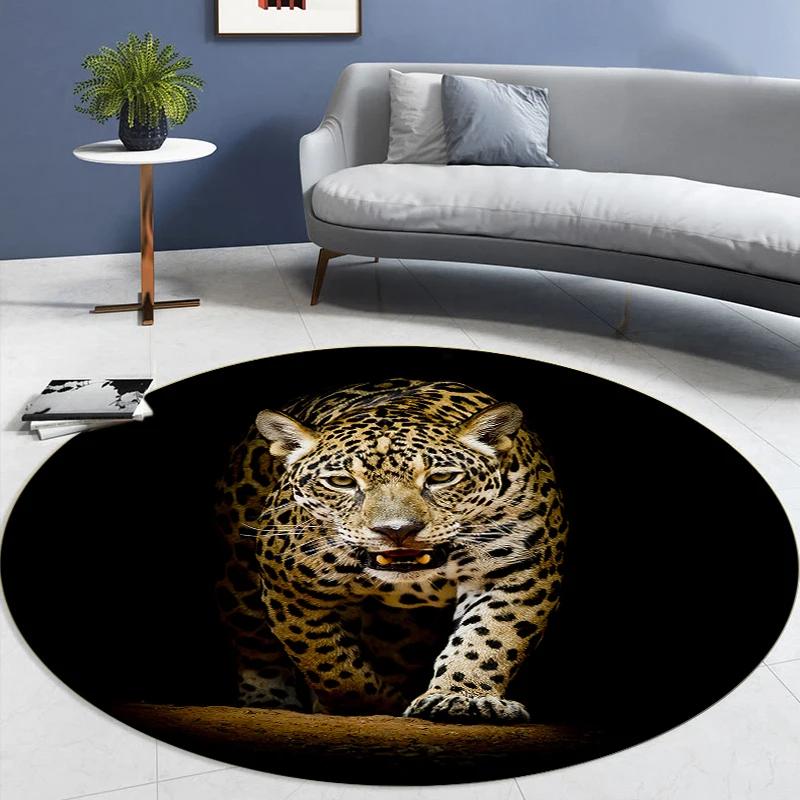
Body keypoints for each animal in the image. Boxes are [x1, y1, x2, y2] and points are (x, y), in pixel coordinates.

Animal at [214, 377, 568, 723]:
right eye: (341, 482)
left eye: (441, 478)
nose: (397, 530)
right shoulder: (288, 586)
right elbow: (328, 661)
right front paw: (370, 704)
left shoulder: (519, 573)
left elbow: (489, 639)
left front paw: (462, 697)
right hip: (239, 577)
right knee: (254, 644)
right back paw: (267, 700)